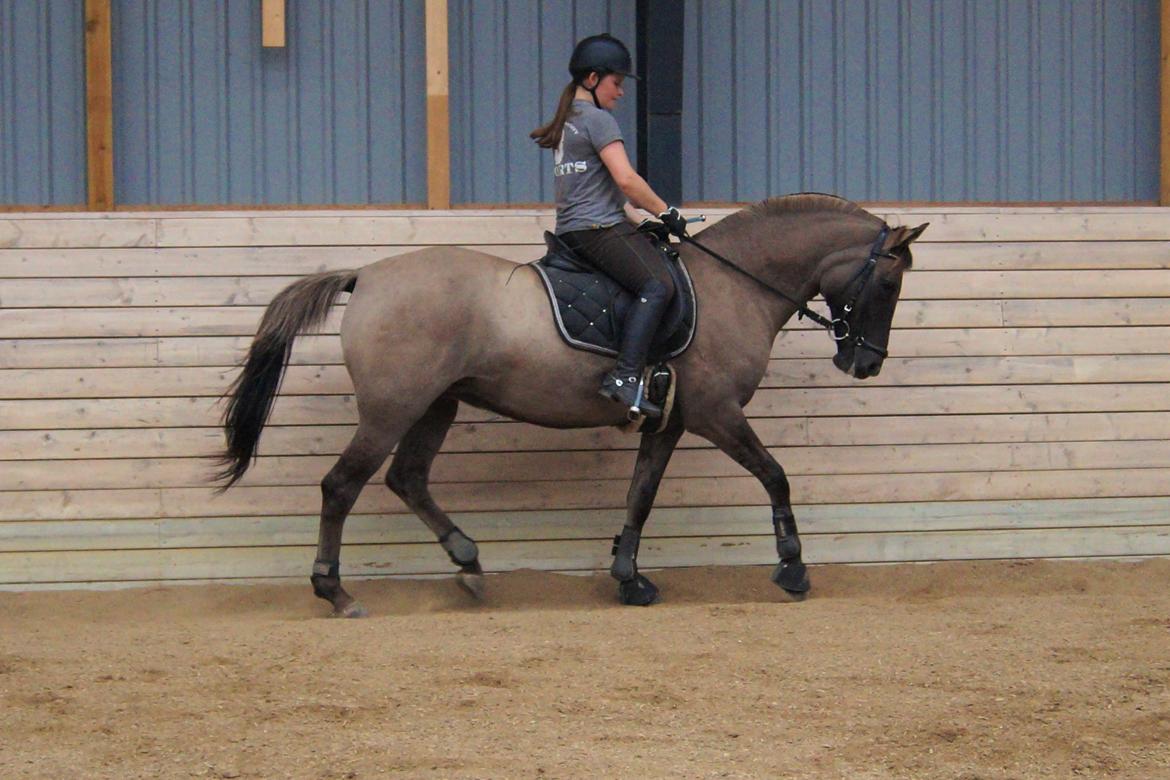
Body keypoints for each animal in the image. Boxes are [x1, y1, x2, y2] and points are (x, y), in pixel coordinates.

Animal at [215, 194, 926, 617]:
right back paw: (335, 591)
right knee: (341, 486)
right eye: (890, 283)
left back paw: (468, 562)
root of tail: (367, 277)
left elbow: (641, 495)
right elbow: (776, 476)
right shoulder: (718, 415)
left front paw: (629, 577)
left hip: (436, 405)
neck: (734, 285)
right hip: (393, 408)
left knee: (407, 479)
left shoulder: (669, 423)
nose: (865, 363)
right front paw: (793, 568)